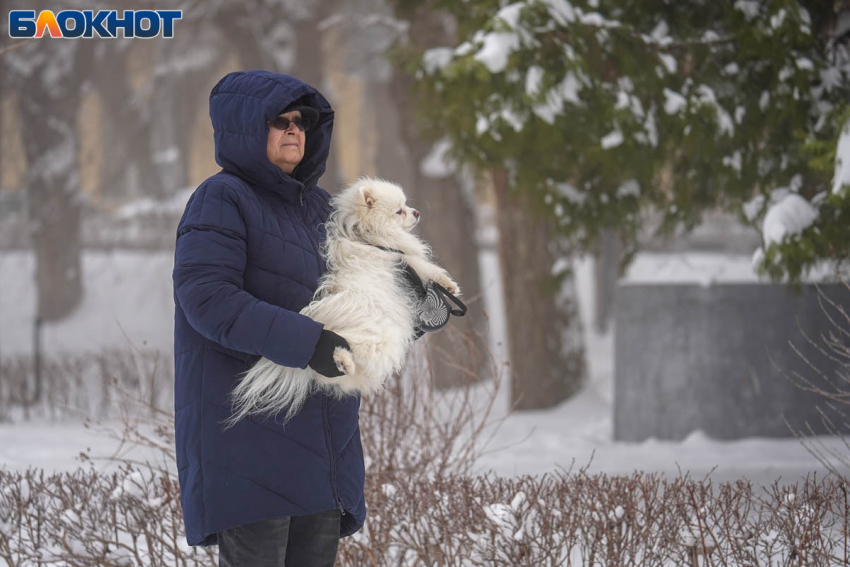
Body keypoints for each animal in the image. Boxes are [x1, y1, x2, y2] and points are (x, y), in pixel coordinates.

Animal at [219, 178, 458, 430]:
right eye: (398, 211)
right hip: (373, 340)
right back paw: (341, 359)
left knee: (336, 373)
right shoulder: (400, 258)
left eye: (406, 206)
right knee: (343, 351)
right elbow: (426, 267)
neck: (368, 236)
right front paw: (449, 285)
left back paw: (344, 365)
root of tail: (328, 324)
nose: (416, 212)